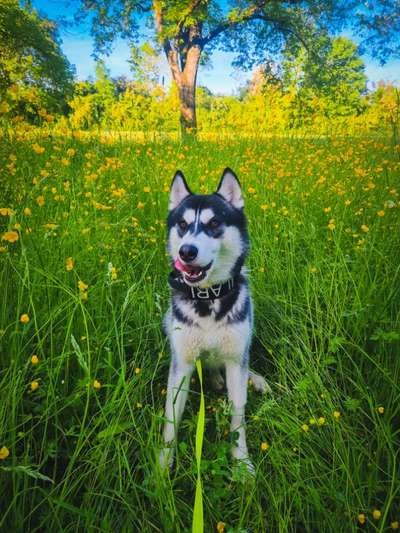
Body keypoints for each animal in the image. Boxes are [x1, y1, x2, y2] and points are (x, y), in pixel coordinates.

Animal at [158, 168, 268, 472]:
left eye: (215, 222)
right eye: (182, 224)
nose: (186, 251)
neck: (208, 298)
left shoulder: (235, 358)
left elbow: (238, 414)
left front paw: (241, 462)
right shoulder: (182, 363)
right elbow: (171, 419)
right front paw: (162, 467)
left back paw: (255, 379)